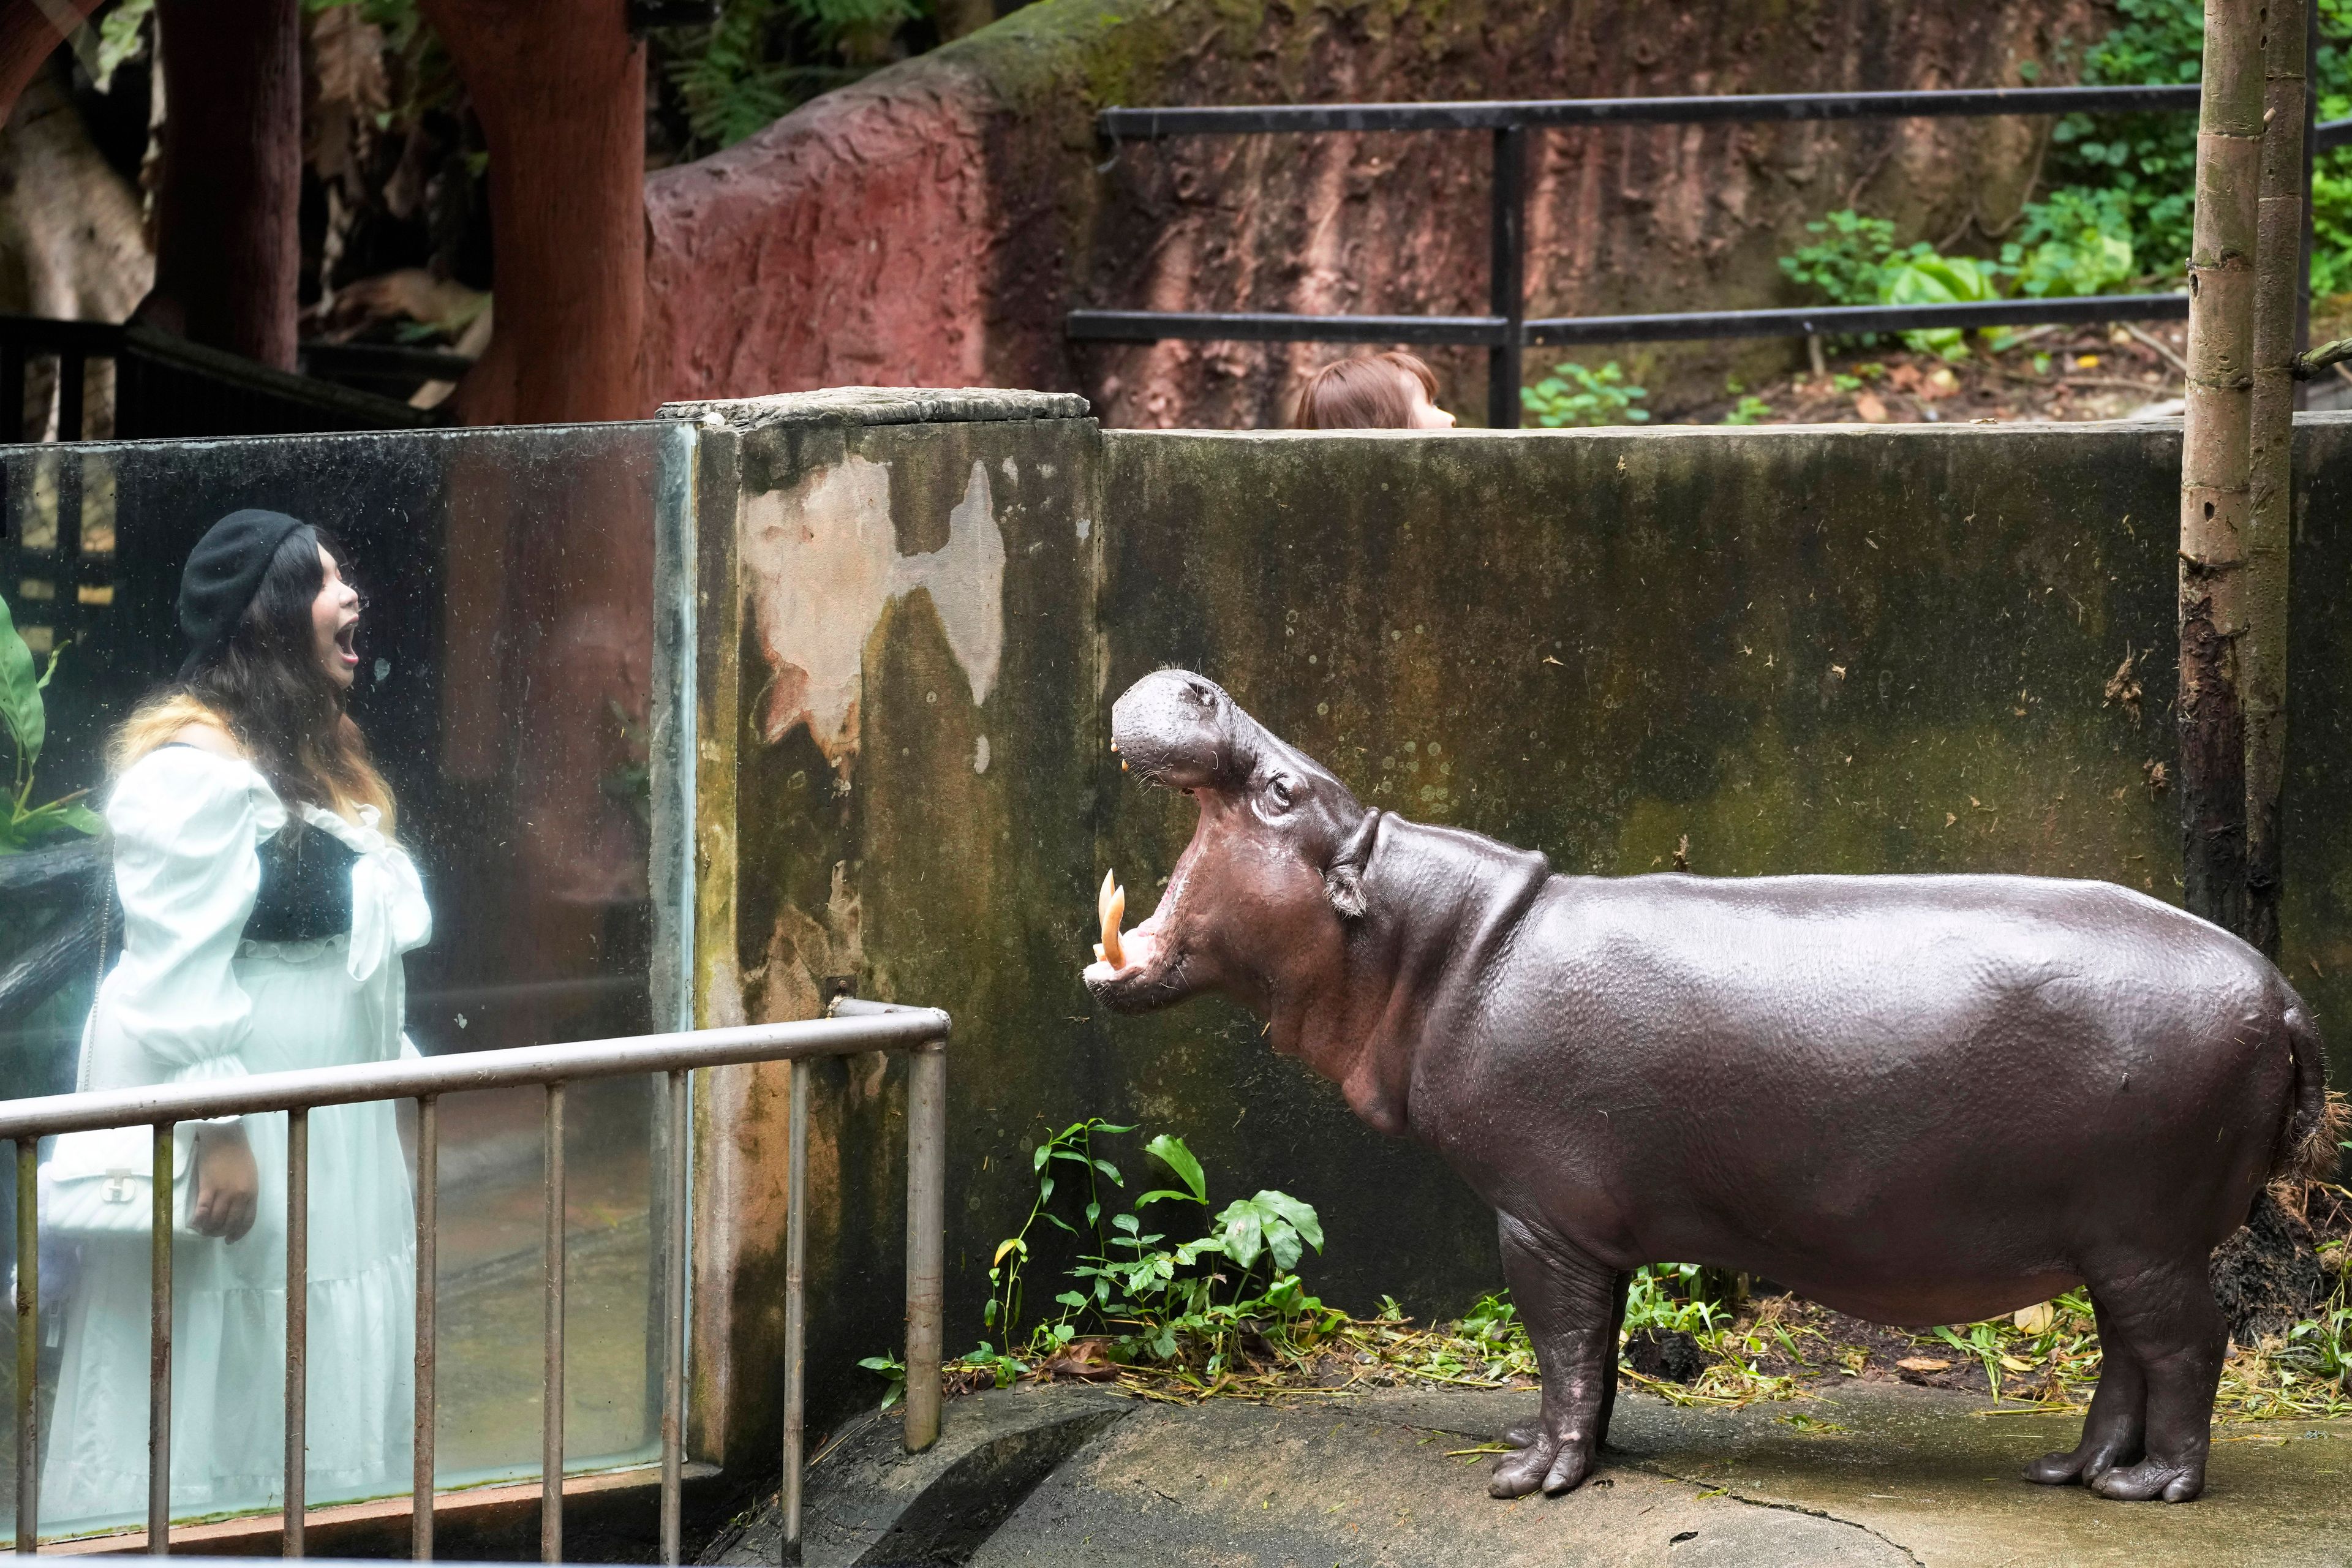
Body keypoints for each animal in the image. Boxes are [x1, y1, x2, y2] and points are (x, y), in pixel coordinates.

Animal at [1077, 672, 2333, 1504]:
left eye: (1284, 790)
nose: (1192, 680)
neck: (1429, 940)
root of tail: (2280, 990)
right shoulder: (1597, 1226)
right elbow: (1597, 1354)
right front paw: (1594, 1456)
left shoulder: (1540, 1220)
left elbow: (1561, 1347)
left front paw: (1529, 1476)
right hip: (2116, 1241)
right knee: (2130, 1355)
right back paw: (2071, 1470)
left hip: (2147, 1234)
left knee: (2190, 1346)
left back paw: (2155, 1491)